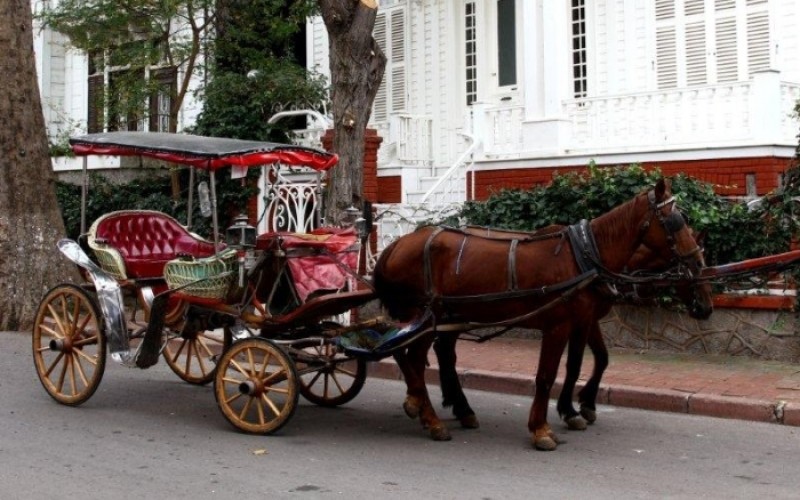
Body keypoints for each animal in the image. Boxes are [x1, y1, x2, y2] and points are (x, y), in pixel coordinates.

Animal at [370, 179, 712, 450]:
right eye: (674, 221)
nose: (697, 263)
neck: (586, 256)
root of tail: (396, 245)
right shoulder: (558, 325)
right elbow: (546, 376)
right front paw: (541, 428)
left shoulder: (582, 320)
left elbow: (579, 365)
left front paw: (573, 410)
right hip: (423, 316)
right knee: (413, 358)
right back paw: (428, 414)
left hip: (445, 317)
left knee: (431, 356)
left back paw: (447, 407)